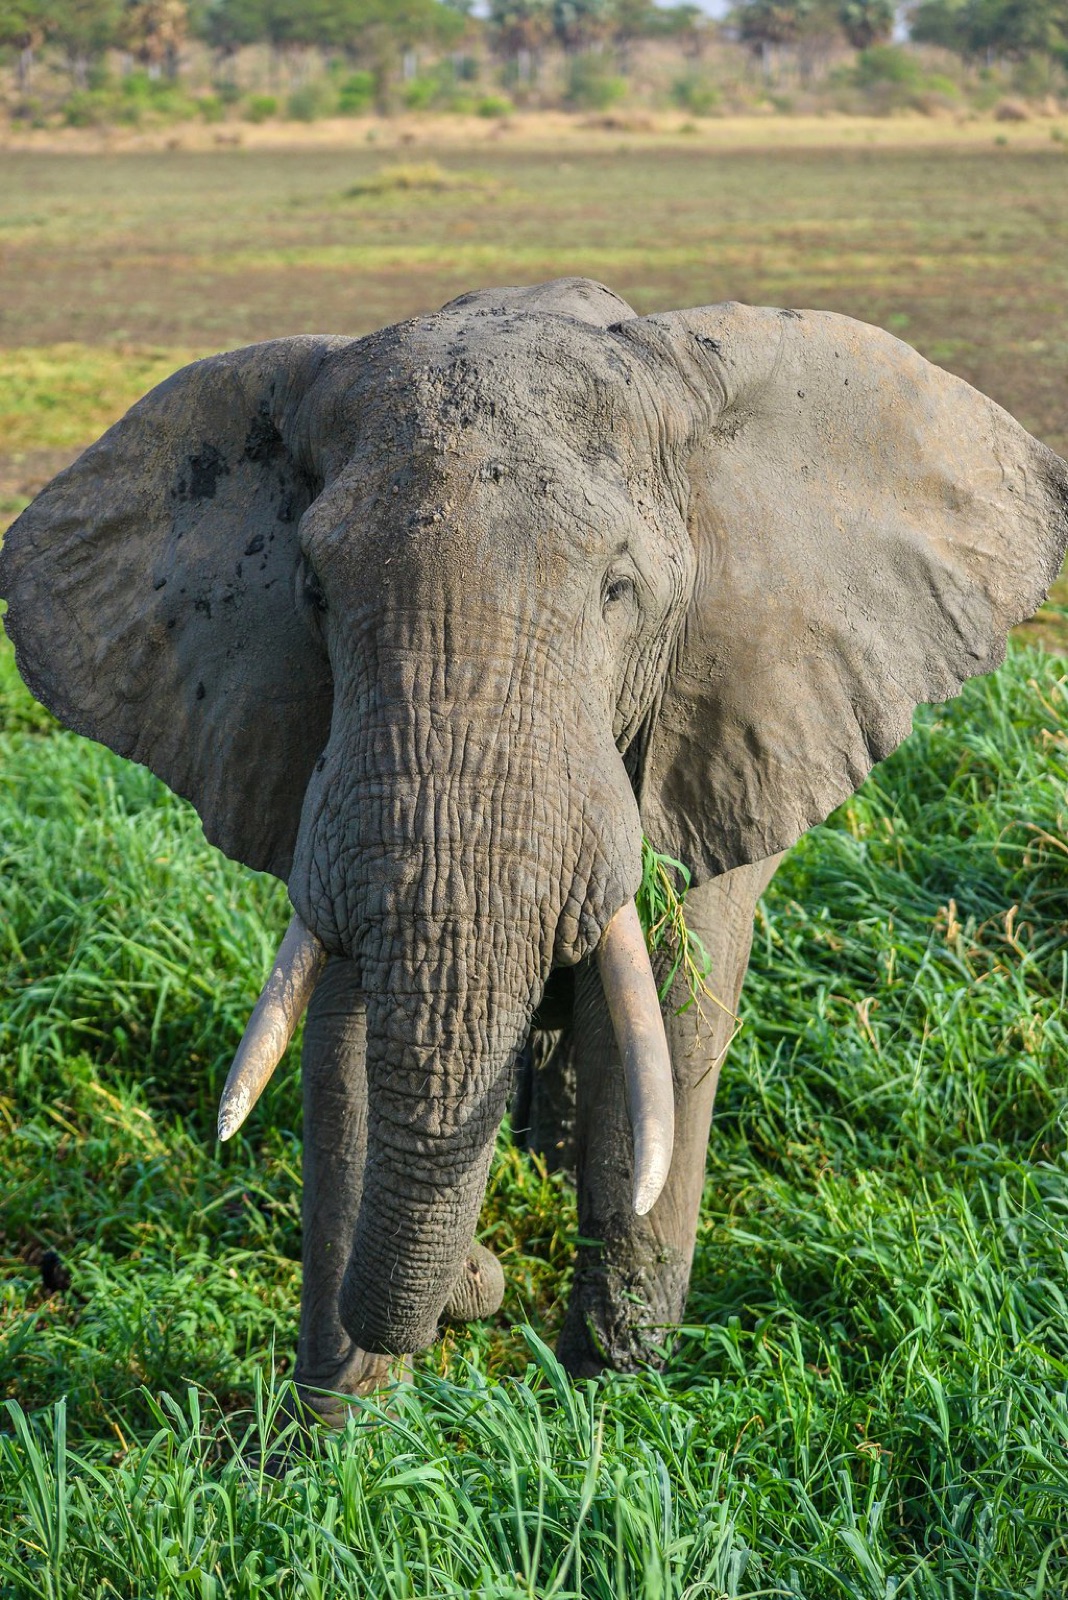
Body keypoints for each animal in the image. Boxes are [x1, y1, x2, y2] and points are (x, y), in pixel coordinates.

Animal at [3, 277, 1067, 1422]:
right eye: (314, 592)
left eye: (619, 591)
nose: (483, 1281)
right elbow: (341, 1039)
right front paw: (335, 1439)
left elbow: (671, 1009)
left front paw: (611, 1403)